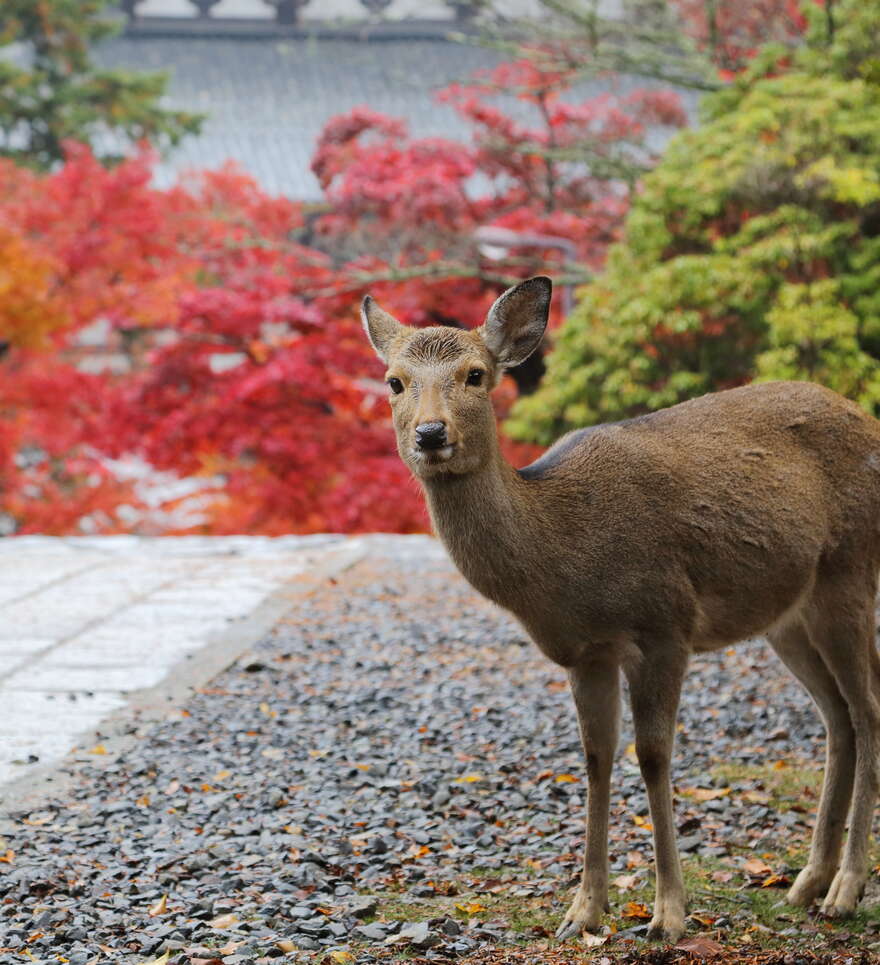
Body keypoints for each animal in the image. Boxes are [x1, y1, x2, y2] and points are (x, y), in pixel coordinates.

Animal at [360, 276, 880, 940]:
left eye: (475, 374)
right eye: (394, 381)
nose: (430, 434)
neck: (562, 551)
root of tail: (870, 423)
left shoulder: (665, 624)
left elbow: (653, 757)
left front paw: (668, 914)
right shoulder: (584, 653)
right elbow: (595, 758)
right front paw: (582, 910)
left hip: (850, 568)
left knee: (867, 710)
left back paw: (846, 888)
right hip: (787, 614)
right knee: (838, 716)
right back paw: (808, 882)